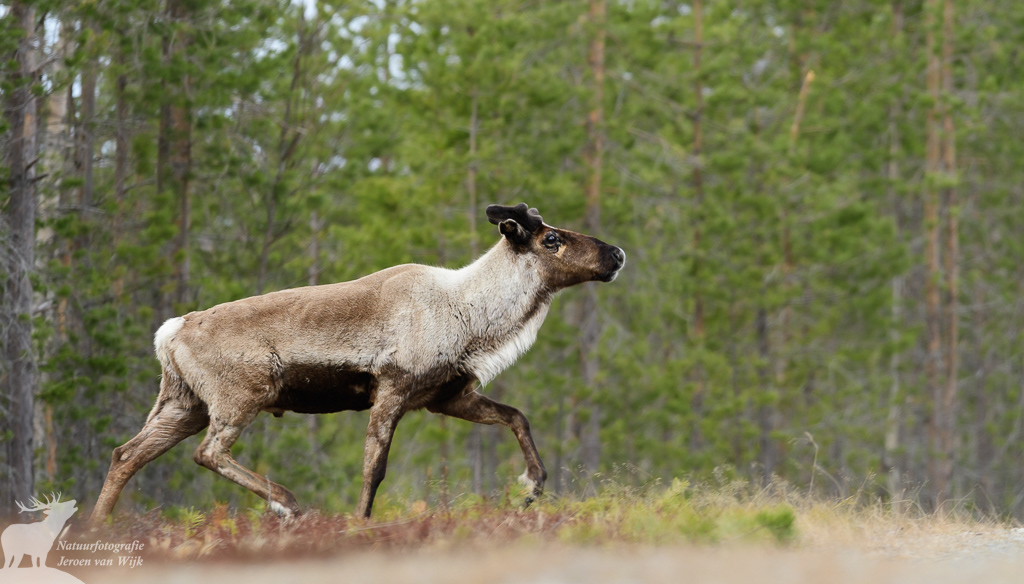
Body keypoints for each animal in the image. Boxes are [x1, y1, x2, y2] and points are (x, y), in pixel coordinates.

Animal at [89, 203, 625, 524]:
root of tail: (169, 332)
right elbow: (375, 467)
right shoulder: (393, 389)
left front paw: (532, 486)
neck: (469, 315)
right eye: (551, 239)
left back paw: (97, 531)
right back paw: (287, 502)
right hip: (240, 396)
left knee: (126, 454)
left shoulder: (447, 396)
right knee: (207, 453)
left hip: (183, 403)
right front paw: (359, 524)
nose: (617, 253)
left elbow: (517, 416)